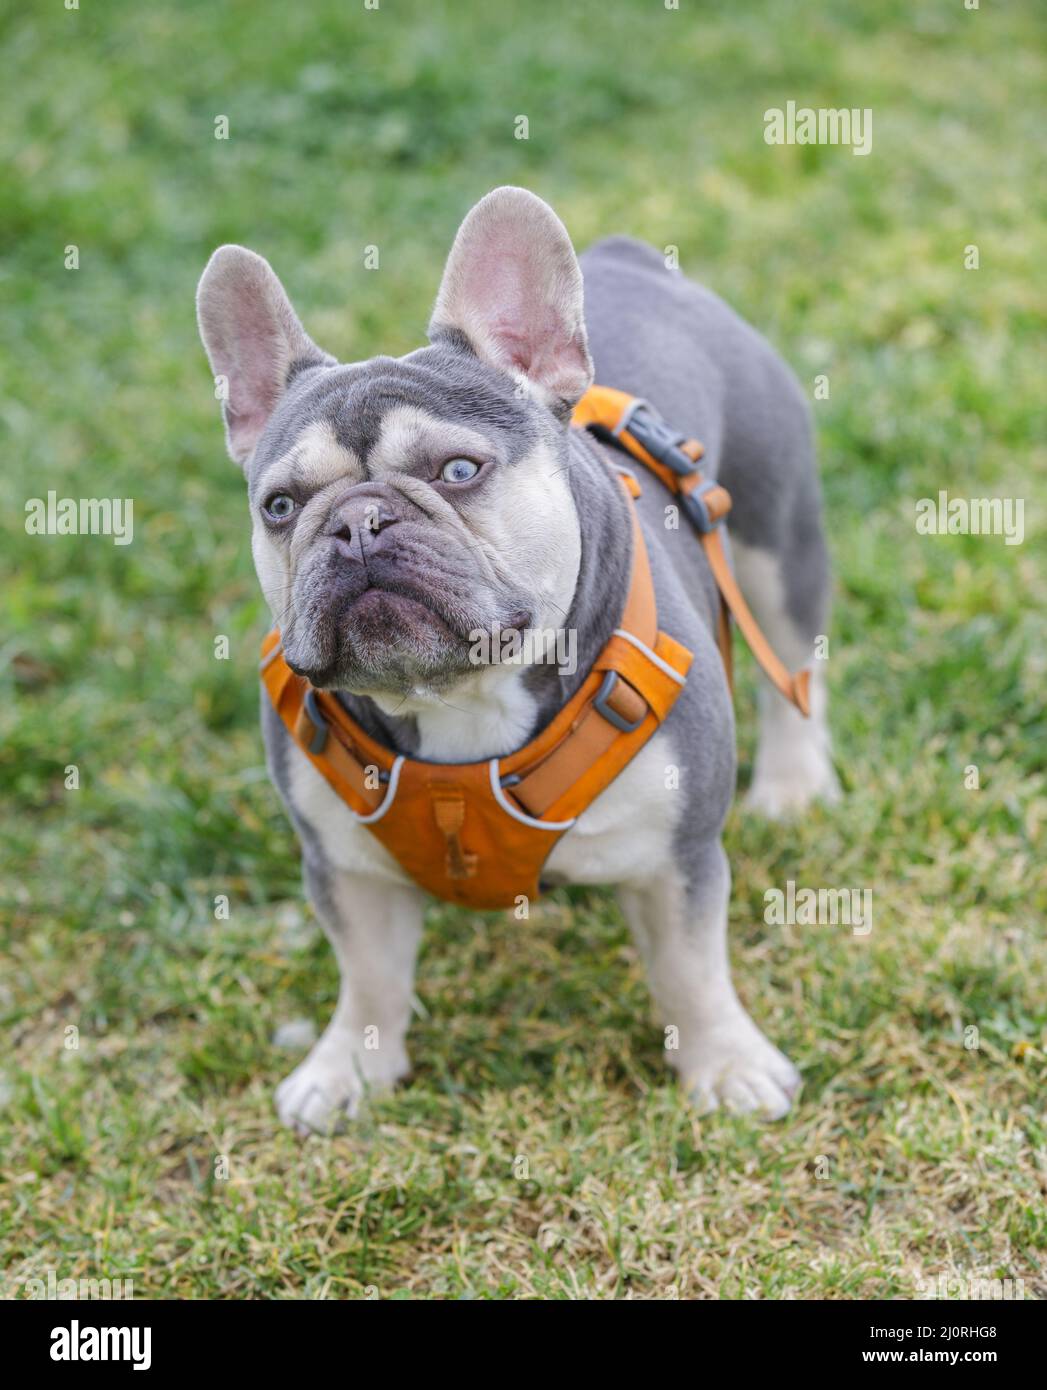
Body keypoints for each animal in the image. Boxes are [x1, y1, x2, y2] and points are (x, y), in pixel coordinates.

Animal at [197, 187, 839, 1139]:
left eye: (459, 469)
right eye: (280, 506)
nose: (355, 523)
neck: (457, 702)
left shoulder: (678, 855)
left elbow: (690, 967)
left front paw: (725, 1067)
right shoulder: (346, 869)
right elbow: (369, 976)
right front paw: (348, 1068)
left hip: (774, 544)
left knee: (792, 666)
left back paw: (794, 787)